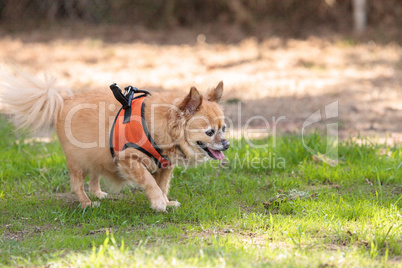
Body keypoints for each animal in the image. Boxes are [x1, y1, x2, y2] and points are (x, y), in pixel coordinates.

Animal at [0, 70, 229, 211]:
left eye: (224, 129)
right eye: (210, 132)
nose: (226, 144)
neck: (161, 125)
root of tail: (64, 101)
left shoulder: (165, 167)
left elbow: (163, 185)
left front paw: (166, 201)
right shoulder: (129, 160)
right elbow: (150, 182)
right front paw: (158, 203)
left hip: (94, 157)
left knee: (94, 178)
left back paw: (98, 194)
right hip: (77, 163)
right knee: (77, 185)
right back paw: (87, 203)